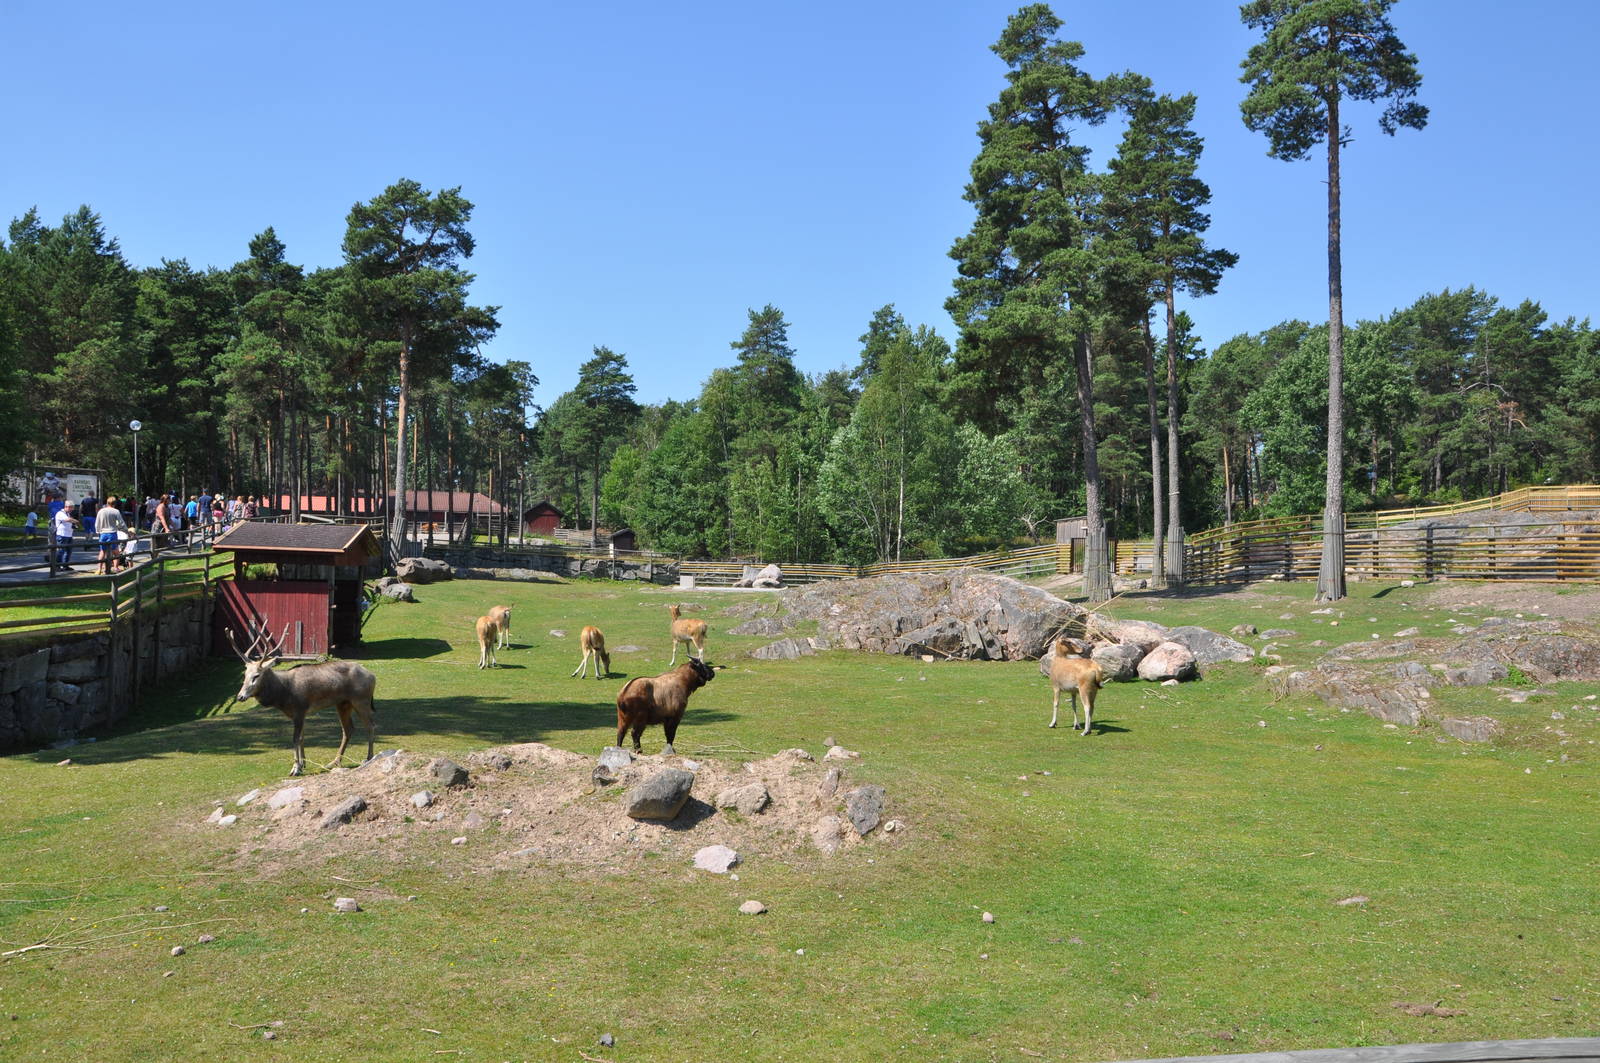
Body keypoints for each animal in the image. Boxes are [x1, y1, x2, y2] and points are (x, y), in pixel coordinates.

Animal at [227, 623, 378, 777]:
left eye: (256, 675)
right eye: (245, 674)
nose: (240, 696)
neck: (283, 695)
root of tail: (372, 676)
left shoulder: (300, 709)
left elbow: (295, 738)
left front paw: (295, 768)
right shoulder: (300, 713)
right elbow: (301, 737)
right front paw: (303, 764)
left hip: (361, 700)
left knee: (370, 726)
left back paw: (368, 758)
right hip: (343, 703)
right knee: (348, 729)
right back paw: (334, 762)